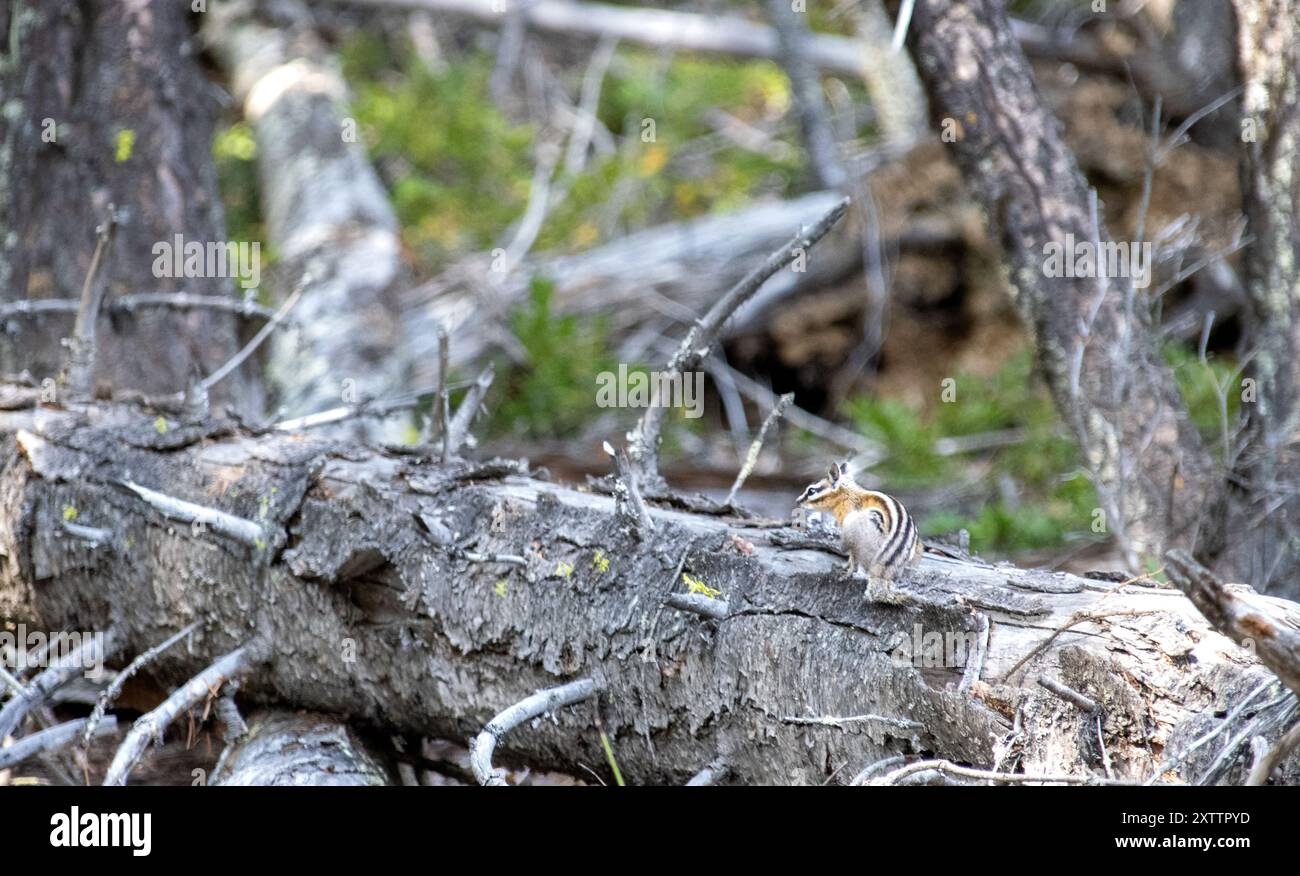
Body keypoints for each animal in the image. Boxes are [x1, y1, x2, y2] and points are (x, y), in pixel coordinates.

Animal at [796, 461, 921, 604]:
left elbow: (852, 556)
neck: (846, 495)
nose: (797, 501)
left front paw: (846, 568)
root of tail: (882, 574)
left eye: (811, 491)